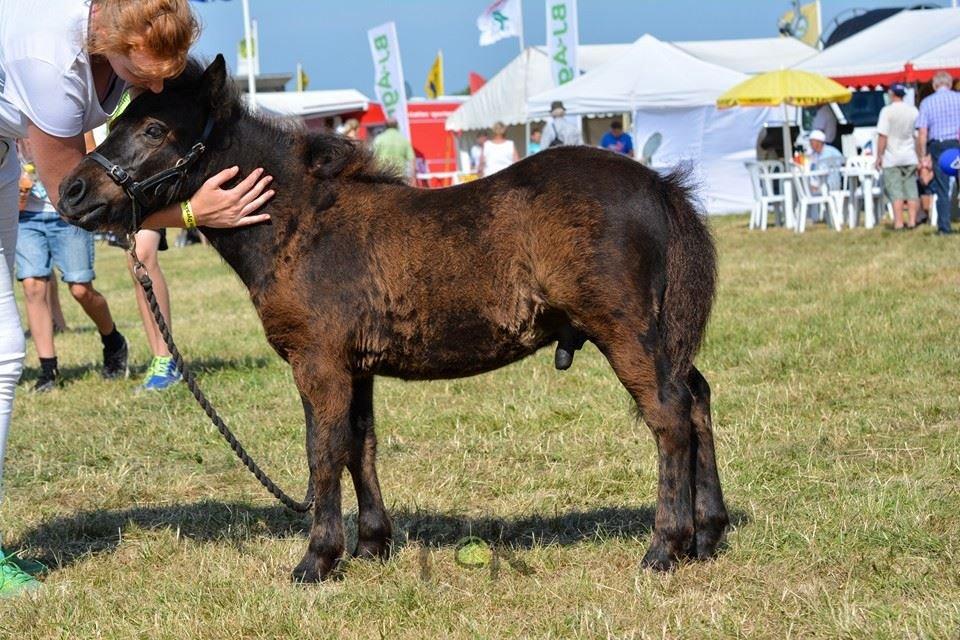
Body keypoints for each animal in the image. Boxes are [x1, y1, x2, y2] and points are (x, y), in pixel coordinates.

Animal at [58, 57, 728, 584]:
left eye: (153, 129)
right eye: (116, 121)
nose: (70, 191)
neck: (302, 224)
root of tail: (658, 185)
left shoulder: (319, 363)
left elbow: (323, 449)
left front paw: (317, 559)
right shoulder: (356, 367)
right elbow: (361, 444)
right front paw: (372, 545)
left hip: (625, 332)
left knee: (669, 415)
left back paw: (664, 547)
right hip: (662, 335)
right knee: (695, 397)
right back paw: (708, 534)